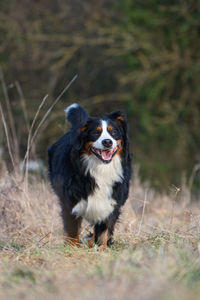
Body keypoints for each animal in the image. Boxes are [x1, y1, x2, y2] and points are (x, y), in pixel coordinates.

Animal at [47, 104, 132, 250]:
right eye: (95, 133)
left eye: (114, 132)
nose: (107, 142)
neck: (100, 168)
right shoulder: (71, 203)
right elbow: (72, 232)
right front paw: (72, 250)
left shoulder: (111, 202)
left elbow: (103, 232)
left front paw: (101, 250)